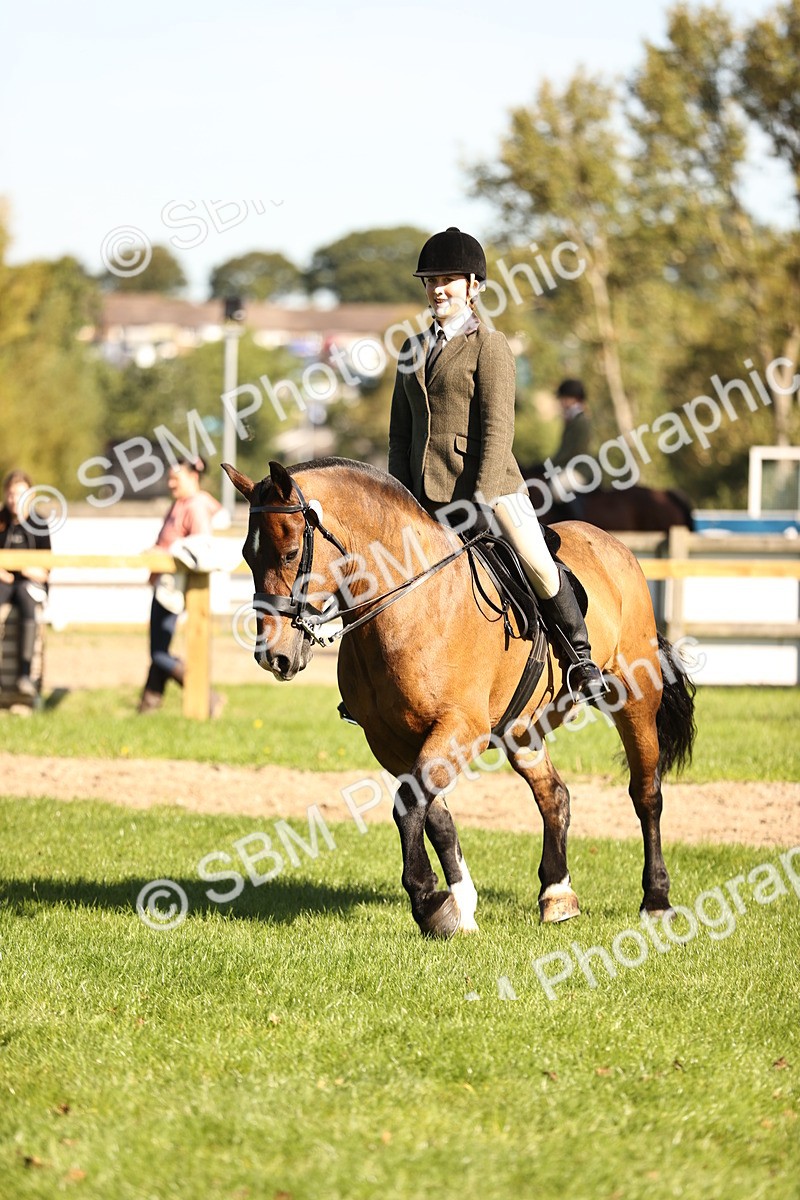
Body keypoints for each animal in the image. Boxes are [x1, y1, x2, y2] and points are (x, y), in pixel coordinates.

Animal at [223, 457, 696, 939]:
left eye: (289, 554)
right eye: (246, 556)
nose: (274, 656)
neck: (410, 603)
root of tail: (613, 545)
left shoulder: (460, 728)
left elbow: (409, 806)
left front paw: (428, 901)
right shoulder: (389, 741)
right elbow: (435, 816)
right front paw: (458, 908)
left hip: (635, 699)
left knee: (646, 793)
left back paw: (656, 900)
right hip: (521, 728)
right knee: (554, 795)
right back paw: (557, 895)